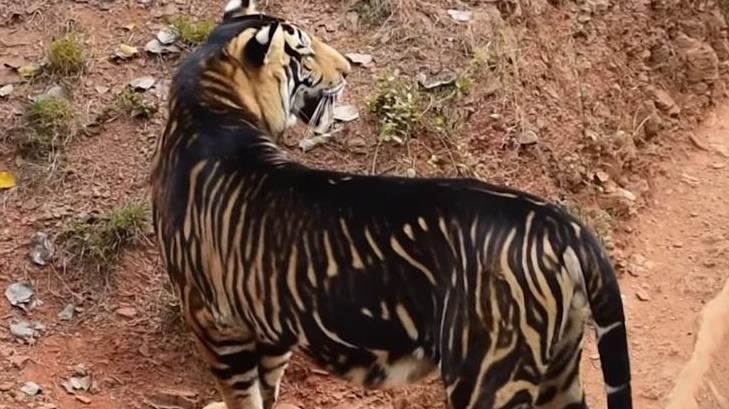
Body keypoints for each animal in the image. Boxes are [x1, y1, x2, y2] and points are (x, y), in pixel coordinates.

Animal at [149, 1, 633, 409]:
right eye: (305, 52)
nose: (348, 69)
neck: (210, 98)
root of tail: (563, 224)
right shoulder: (259, 323)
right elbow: (263, 391)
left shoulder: (215, 323)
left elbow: (244, 397)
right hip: (558, 367)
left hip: (489, 375)